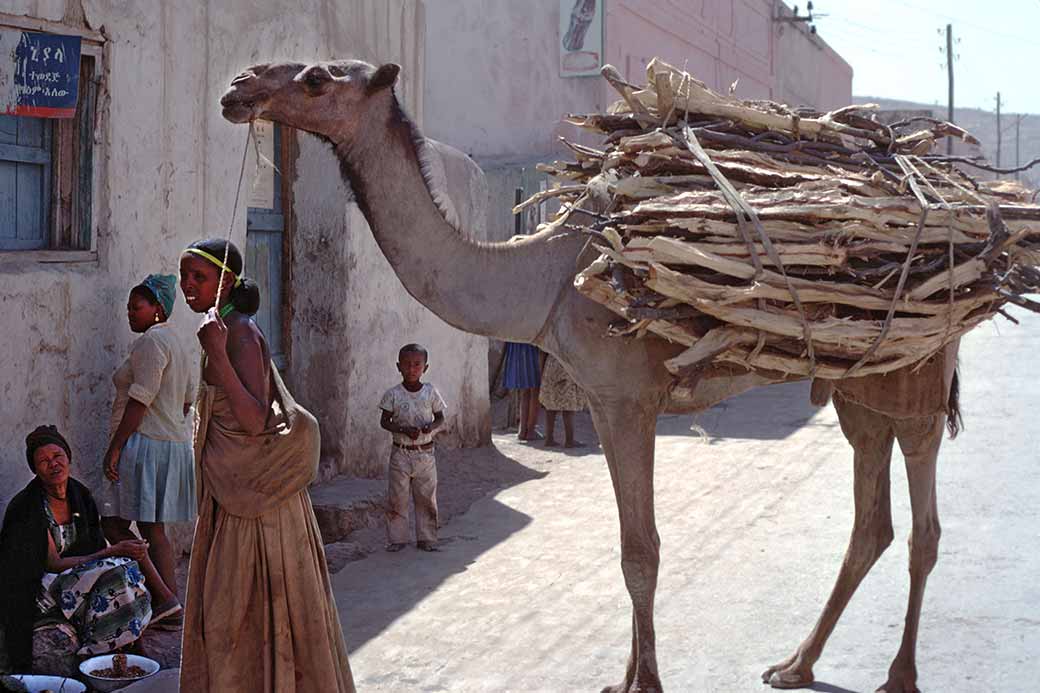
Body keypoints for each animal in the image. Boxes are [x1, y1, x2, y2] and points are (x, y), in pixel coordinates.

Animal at [219, 59, 962, 693]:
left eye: (317, 78)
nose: (238, 87)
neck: (543, 277)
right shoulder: (606, 404)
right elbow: (630, 546)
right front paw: (627, 676)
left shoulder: (626, 397)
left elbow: (643, 551)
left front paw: (648, 682)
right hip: (859, 387)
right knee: (871, 520)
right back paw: (794, 664)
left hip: (919, 374)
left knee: (924, 523)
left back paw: (899, 674)